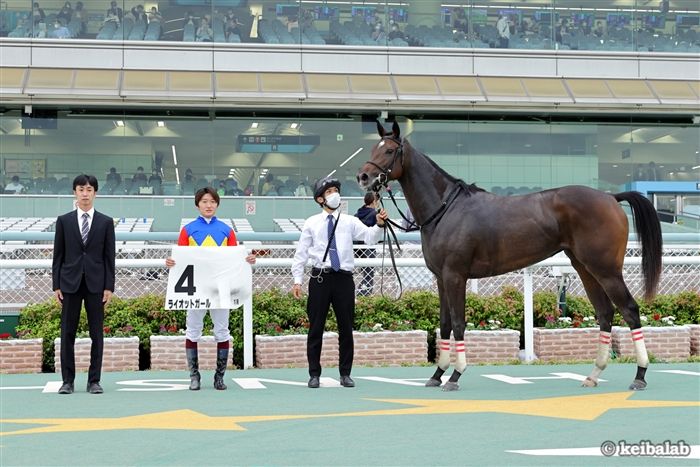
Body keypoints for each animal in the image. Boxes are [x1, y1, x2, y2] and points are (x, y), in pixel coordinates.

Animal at [357, 121, 662, 391]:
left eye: (388, 150)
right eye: (374, 147)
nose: (364, 177)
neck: (446, 209)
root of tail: (611, 197)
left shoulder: (455, 276)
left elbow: (458, 322)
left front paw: (455, 375)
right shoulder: (441, 278)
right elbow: (444, 324)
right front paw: (437, 374)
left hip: (606, 269)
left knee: (629, 310)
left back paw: (640, 375)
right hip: (585, 267)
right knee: (605, 313)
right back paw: (593, 375)